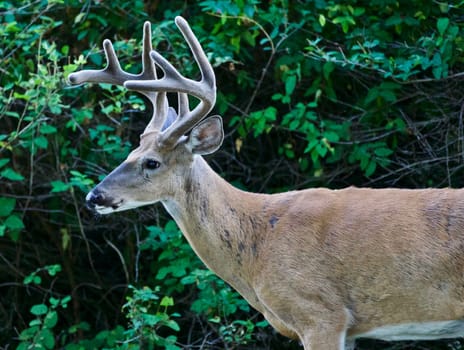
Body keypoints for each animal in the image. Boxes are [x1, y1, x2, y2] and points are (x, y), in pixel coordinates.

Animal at [67, 16, 464, 350]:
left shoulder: (321, 313)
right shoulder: (347, 328)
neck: (256, 244)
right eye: (131, 151)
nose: (94, 196)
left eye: (152, 162)